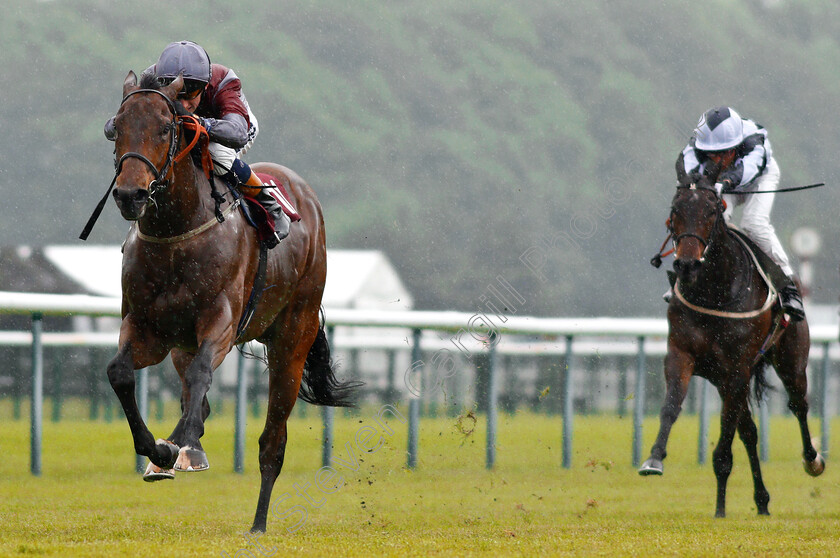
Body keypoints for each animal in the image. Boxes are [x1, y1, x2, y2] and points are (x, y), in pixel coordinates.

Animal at [101, 71, 358, 532]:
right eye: (118, 126)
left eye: (165, 128)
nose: (130, 195)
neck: (175, 234)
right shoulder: (148, 329)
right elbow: (121, 374)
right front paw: (159, 450)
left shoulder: (220, 322)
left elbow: (203, 372)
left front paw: (179, 449)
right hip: (183, 344)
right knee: (195, 396)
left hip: (293, 338)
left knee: (272, 440)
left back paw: (258, 523)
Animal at [640, 172, 824, 520]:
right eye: (675, 210)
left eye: (712, 212)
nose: (686, 264)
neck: (714, 290)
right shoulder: (681, 354)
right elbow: (671, 406)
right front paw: (654, 459)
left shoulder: (738, 366)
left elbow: (725, 435)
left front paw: (720, 505)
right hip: (723, 380)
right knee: (750, 431)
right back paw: (761, 500)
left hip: (790, 361)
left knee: (799, 405)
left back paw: (812, 460)